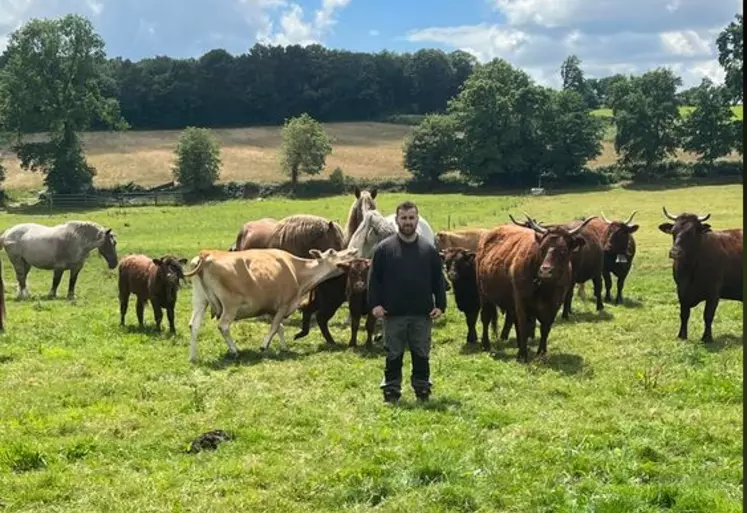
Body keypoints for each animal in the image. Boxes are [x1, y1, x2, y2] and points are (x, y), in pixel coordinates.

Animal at [184, 245, 360, 360]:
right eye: (332, 251)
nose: (353, 250)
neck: (296, 272)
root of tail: (206, 254)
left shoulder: (269, 308)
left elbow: (280, 328)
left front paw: (284, 347)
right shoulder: (283, 305)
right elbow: (275, 326)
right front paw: (264, 346)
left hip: (200, 300)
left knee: (194, 325)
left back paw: (193, 357)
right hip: (230, 305)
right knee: (223, 326)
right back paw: (234, 351)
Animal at [480, 214, 596, 362]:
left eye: (563, 250)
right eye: (542, 248)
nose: (545, 271)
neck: (545, 288)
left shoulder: (554, 305)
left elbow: (545, 328)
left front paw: (541, 352)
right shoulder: (521, 302)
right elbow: (523, 326)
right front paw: (522, 355)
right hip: (484, 295)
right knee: (486, 318)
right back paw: (485, 344)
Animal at [660, 206, 744, 342]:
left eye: (691, 232)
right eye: (673, 231)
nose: (675, 252)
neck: (690, 268)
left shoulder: (713, 293)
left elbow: (708, 315)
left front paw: (707, 337)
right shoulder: (681, 290)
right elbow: (684, 314)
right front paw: (682, 336)